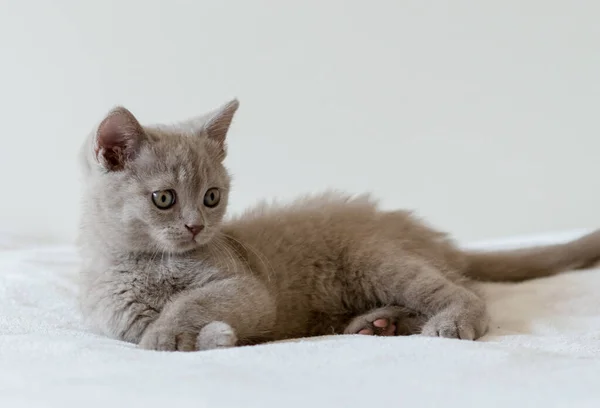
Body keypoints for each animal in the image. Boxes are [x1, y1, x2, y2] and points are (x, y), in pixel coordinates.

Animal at [77, 99, 600, 350]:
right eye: (164, 199)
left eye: (211, 197)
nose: (195, 227)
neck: (150, 264)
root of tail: (430, 236)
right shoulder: (120, 319)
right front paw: (204, 337)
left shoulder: (247, 289)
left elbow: (192, 303)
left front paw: (174, 333)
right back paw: (379, 325)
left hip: (376, 258)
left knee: (467, 292)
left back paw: (447, 323)